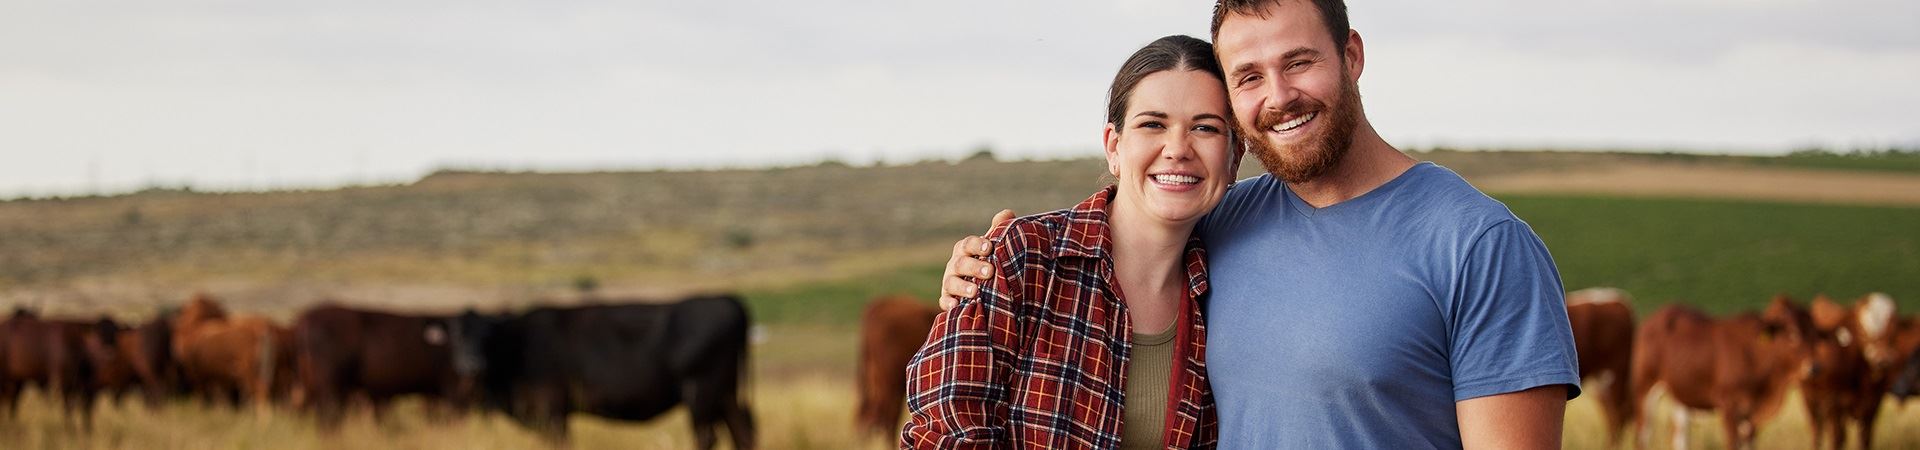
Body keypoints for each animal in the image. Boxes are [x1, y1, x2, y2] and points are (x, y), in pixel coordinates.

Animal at [446, 294, 755, 449]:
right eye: (457, 337)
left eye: (486, 336)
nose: (471, 365)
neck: (517, 346)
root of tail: (729, 300)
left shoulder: (553, 409)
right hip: (725, 393)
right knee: (742, 431)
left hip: (702, 391)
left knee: (707, 438)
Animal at [1629, 295, 1815, 450]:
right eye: (1792, 333)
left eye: (1813, 332)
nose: (1814, 367)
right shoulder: (1729, 405)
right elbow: (1732, 444)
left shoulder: (1751, 415)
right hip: (1645, 390)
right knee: (1642, 436)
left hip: (1680, 396)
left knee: (1679, 437)